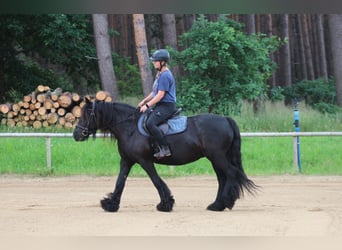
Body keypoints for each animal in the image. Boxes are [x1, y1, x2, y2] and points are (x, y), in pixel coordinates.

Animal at [74, 98, 256, 212]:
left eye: (86, 114)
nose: (76, 134)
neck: (129, 127)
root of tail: (226, 119)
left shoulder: (144, 161)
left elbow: (156, 181)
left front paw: (165, 204)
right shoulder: (127, 160)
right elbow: (120, 182)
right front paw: (111, 204)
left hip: (217, 157)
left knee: (230, 174)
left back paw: (225, 202)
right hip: (215, 158)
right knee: (222, 178)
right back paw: (217, 204)